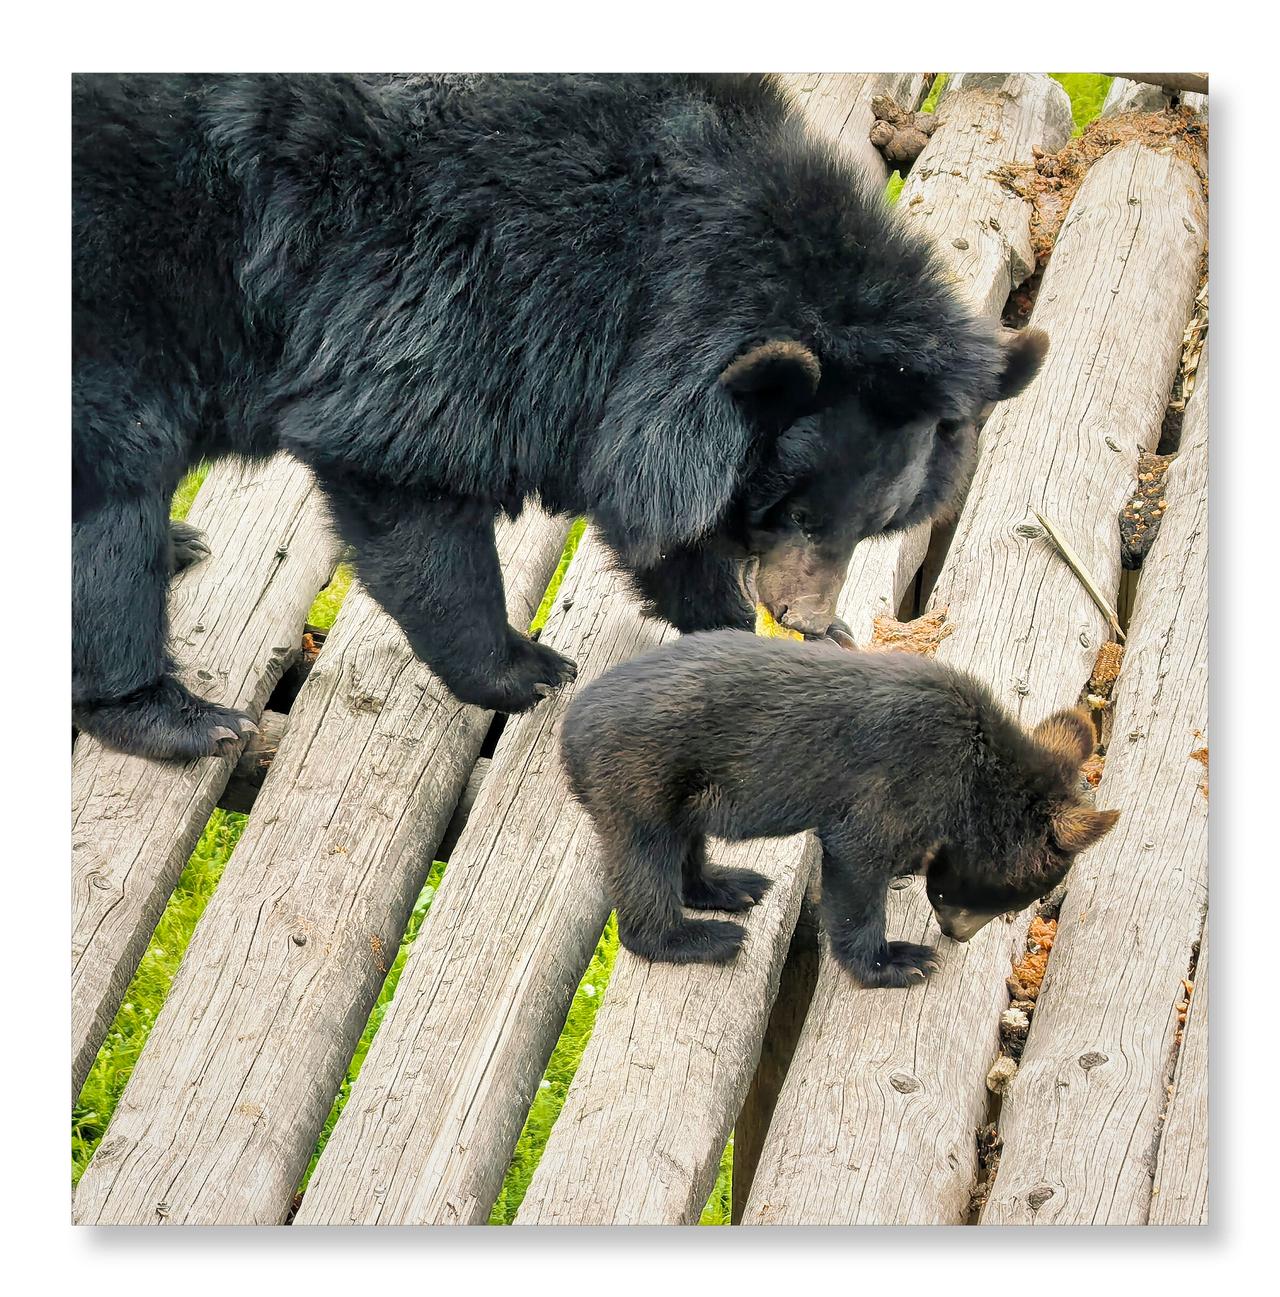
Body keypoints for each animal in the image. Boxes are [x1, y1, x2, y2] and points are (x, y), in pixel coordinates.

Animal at [73, 73, 1047, 761]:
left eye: (877, 525)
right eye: (796, 512)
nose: (806, 615)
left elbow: (671, 533)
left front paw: (749, 631)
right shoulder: (472, 284)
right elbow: (407, 474)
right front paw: (526, 670)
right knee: (111, 508)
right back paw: (183, 717)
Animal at [560, 631, 1120, 987]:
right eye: (1010, 899)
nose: (954, 934)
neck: (980, 773)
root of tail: (570, 729)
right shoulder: (901, 779)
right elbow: (857, 864)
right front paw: (896, 962)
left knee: (686, 844)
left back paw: (727, 885)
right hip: (637, 779)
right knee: (644, 862)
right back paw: (696, 936)